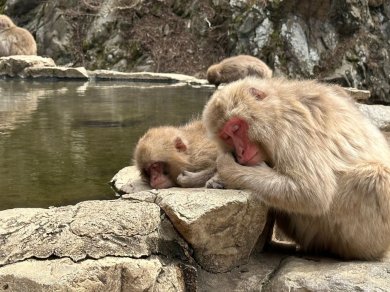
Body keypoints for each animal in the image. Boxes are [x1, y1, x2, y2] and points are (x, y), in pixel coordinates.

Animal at [201, 76, 390, 258]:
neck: (276, 109)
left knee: (375, 178)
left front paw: (226, 169)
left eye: (236, 128)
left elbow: (312, 192)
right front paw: (216, 179)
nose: (240, 152)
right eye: (226, 137)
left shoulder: (292, 127)